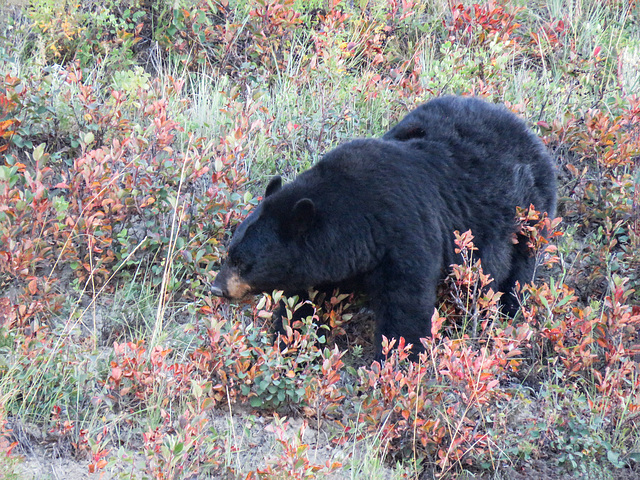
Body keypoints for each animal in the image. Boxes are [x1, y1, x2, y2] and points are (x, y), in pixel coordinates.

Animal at [211, 95, 556, 358]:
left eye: (243, 262)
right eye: (230, 253)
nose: (217, 288)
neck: (359, 226)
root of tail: (527, 130)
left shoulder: (404, 233)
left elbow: (404, 307)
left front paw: (396, 362)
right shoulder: (324, 265)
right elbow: (302, 304)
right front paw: (288, 344)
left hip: (529, 214)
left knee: (517, 272)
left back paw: (507, 311)